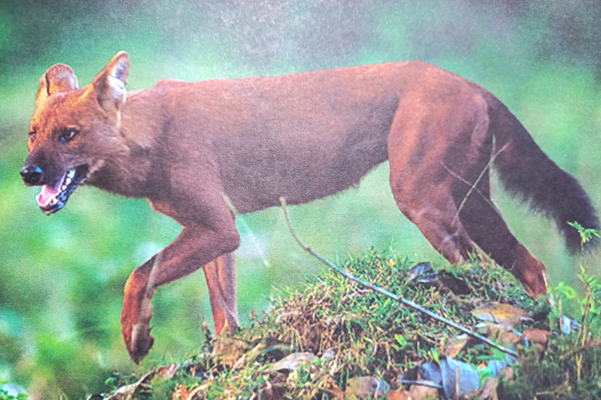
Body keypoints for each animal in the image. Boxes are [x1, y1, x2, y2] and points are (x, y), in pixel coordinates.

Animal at [21, 52, 596, 362]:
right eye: (32, 135)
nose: (28, 173)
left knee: (479, 270)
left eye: (69, 135)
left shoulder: (218, 227)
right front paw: (229, 357)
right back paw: (542, 332)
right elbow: (223, 309)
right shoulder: (215, 230)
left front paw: (137, 338)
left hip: (421, 199)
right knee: (530, 266)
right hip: (470, 201)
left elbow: (139, 273)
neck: (148, 138)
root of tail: (469, 80)